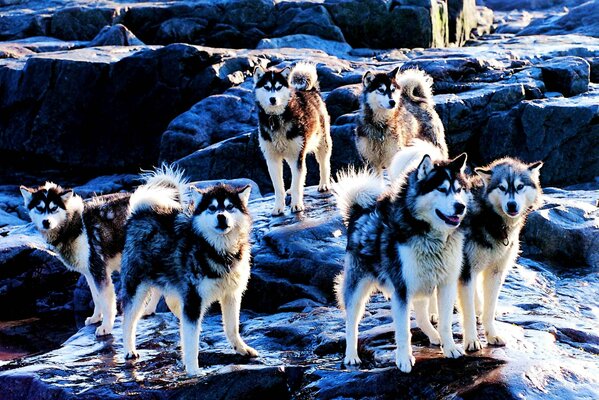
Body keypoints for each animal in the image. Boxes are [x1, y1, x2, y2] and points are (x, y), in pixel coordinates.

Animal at [19, 183, 149, 336]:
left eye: (54, 208)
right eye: (39, 208)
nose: (46, 222)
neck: (74, 225)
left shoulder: (99, 270)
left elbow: (106, 302)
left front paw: (106, 326)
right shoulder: (89, 273)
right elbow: (97, 298)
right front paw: (96, 317)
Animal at [121, 171, 258, 376]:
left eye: (229, 207)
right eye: (212, 208)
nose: (221, 216)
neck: (218, 250)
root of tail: (140, 213)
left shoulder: (231, 294)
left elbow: (232, 328)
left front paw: (242, 349)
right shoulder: (194, 300)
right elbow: (192, 338)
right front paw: (193, 369)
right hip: (136, 288)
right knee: (128, 320)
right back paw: (130, 349)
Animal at [253, 62, 332, 216]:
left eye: (278, 87)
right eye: (267, 87)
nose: (273, 99)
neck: (276, 119)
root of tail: (311, 90)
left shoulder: (297, 156)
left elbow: (298, 184)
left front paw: (296, 205)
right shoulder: (272, 159)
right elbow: (278, 187)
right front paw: (278, 207)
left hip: (322, 143)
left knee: (324, 163)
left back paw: (324, 184)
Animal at [336, 151, 472, 372]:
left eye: (459, 190)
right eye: (442, 189)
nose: (461, 207)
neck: (429, 235)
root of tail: (358, 211)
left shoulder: (446, 284)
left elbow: (444, 323)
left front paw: (450, 348)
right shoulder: (401, 289)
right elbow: (402, 330)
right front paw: (404, 359)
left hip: (421, 284)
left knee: (422, 316)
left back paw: (434, 336)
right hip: (358, 288)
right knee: (351, 322)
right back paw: (351, 355)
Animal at [460, 158, 544, 352]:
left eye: (520, 186)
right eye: (502, 187)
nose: (511, 205)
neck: (490, 218)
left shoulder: (495, 272)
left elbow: (490, 309)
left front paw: (492, 335)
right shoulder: (466, 271)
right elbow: (467, 311)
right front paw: (471, 340)